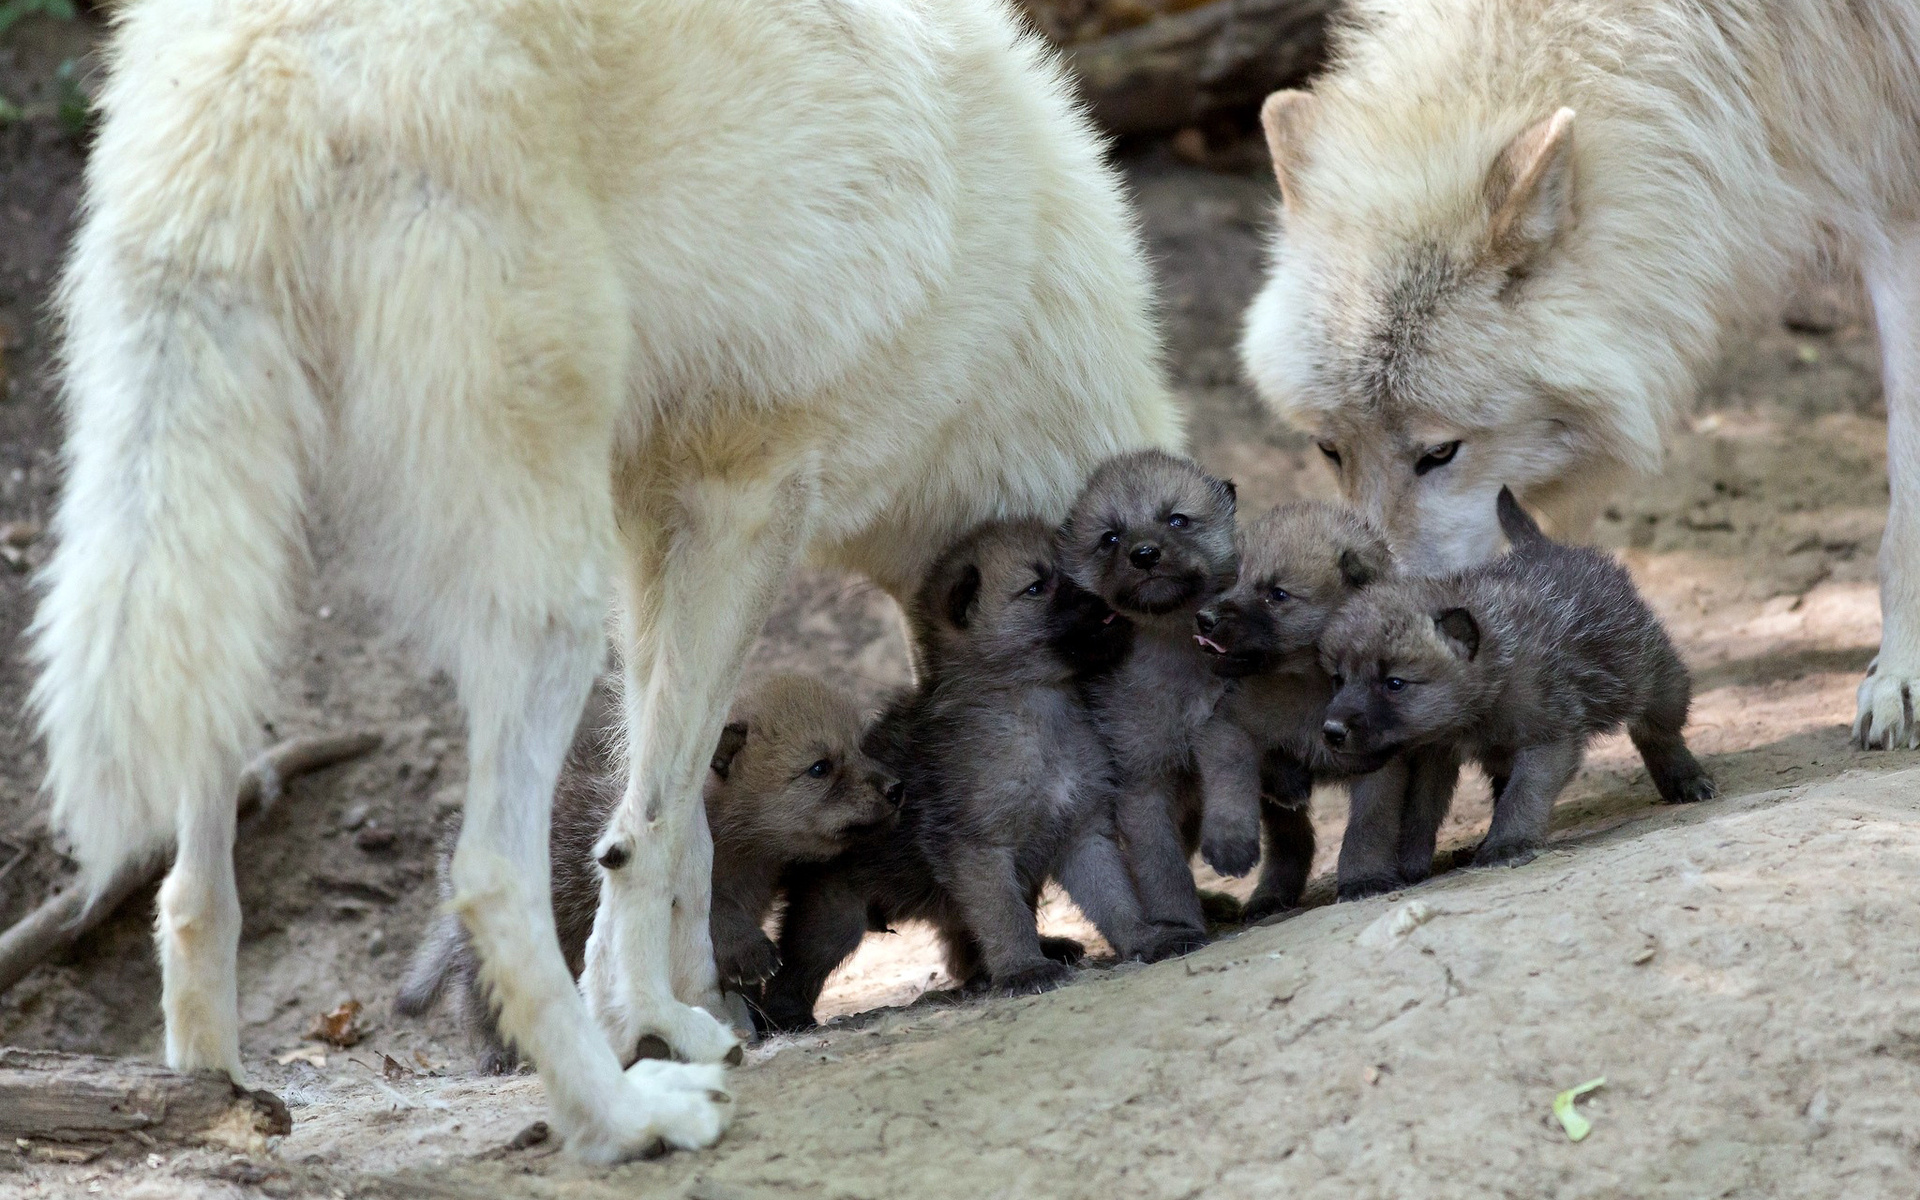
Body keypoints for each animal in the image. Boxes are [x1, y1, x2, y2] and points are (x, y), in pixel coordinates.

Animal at [37, 0, 1175, 1159]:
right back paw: (623, 1118)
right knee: (484, 877)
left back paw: (210, 1099)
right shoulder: (745, 508)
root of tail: (270, 53)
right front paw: (657, 1025)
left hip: (237, 565)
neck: (1018, 303)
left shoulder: (651, 530)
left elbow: (666, 818)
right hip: (547, 609)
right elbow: (654, 825)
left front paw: (686, 1008)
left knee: (188, 881)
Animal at [1236, 0, 1920, 748]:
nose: (1357, 638)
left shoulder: (1895, 196)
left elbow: (1905, 512)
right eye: (1329, 451)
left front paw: (1899, 677)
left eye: (1440, 452)